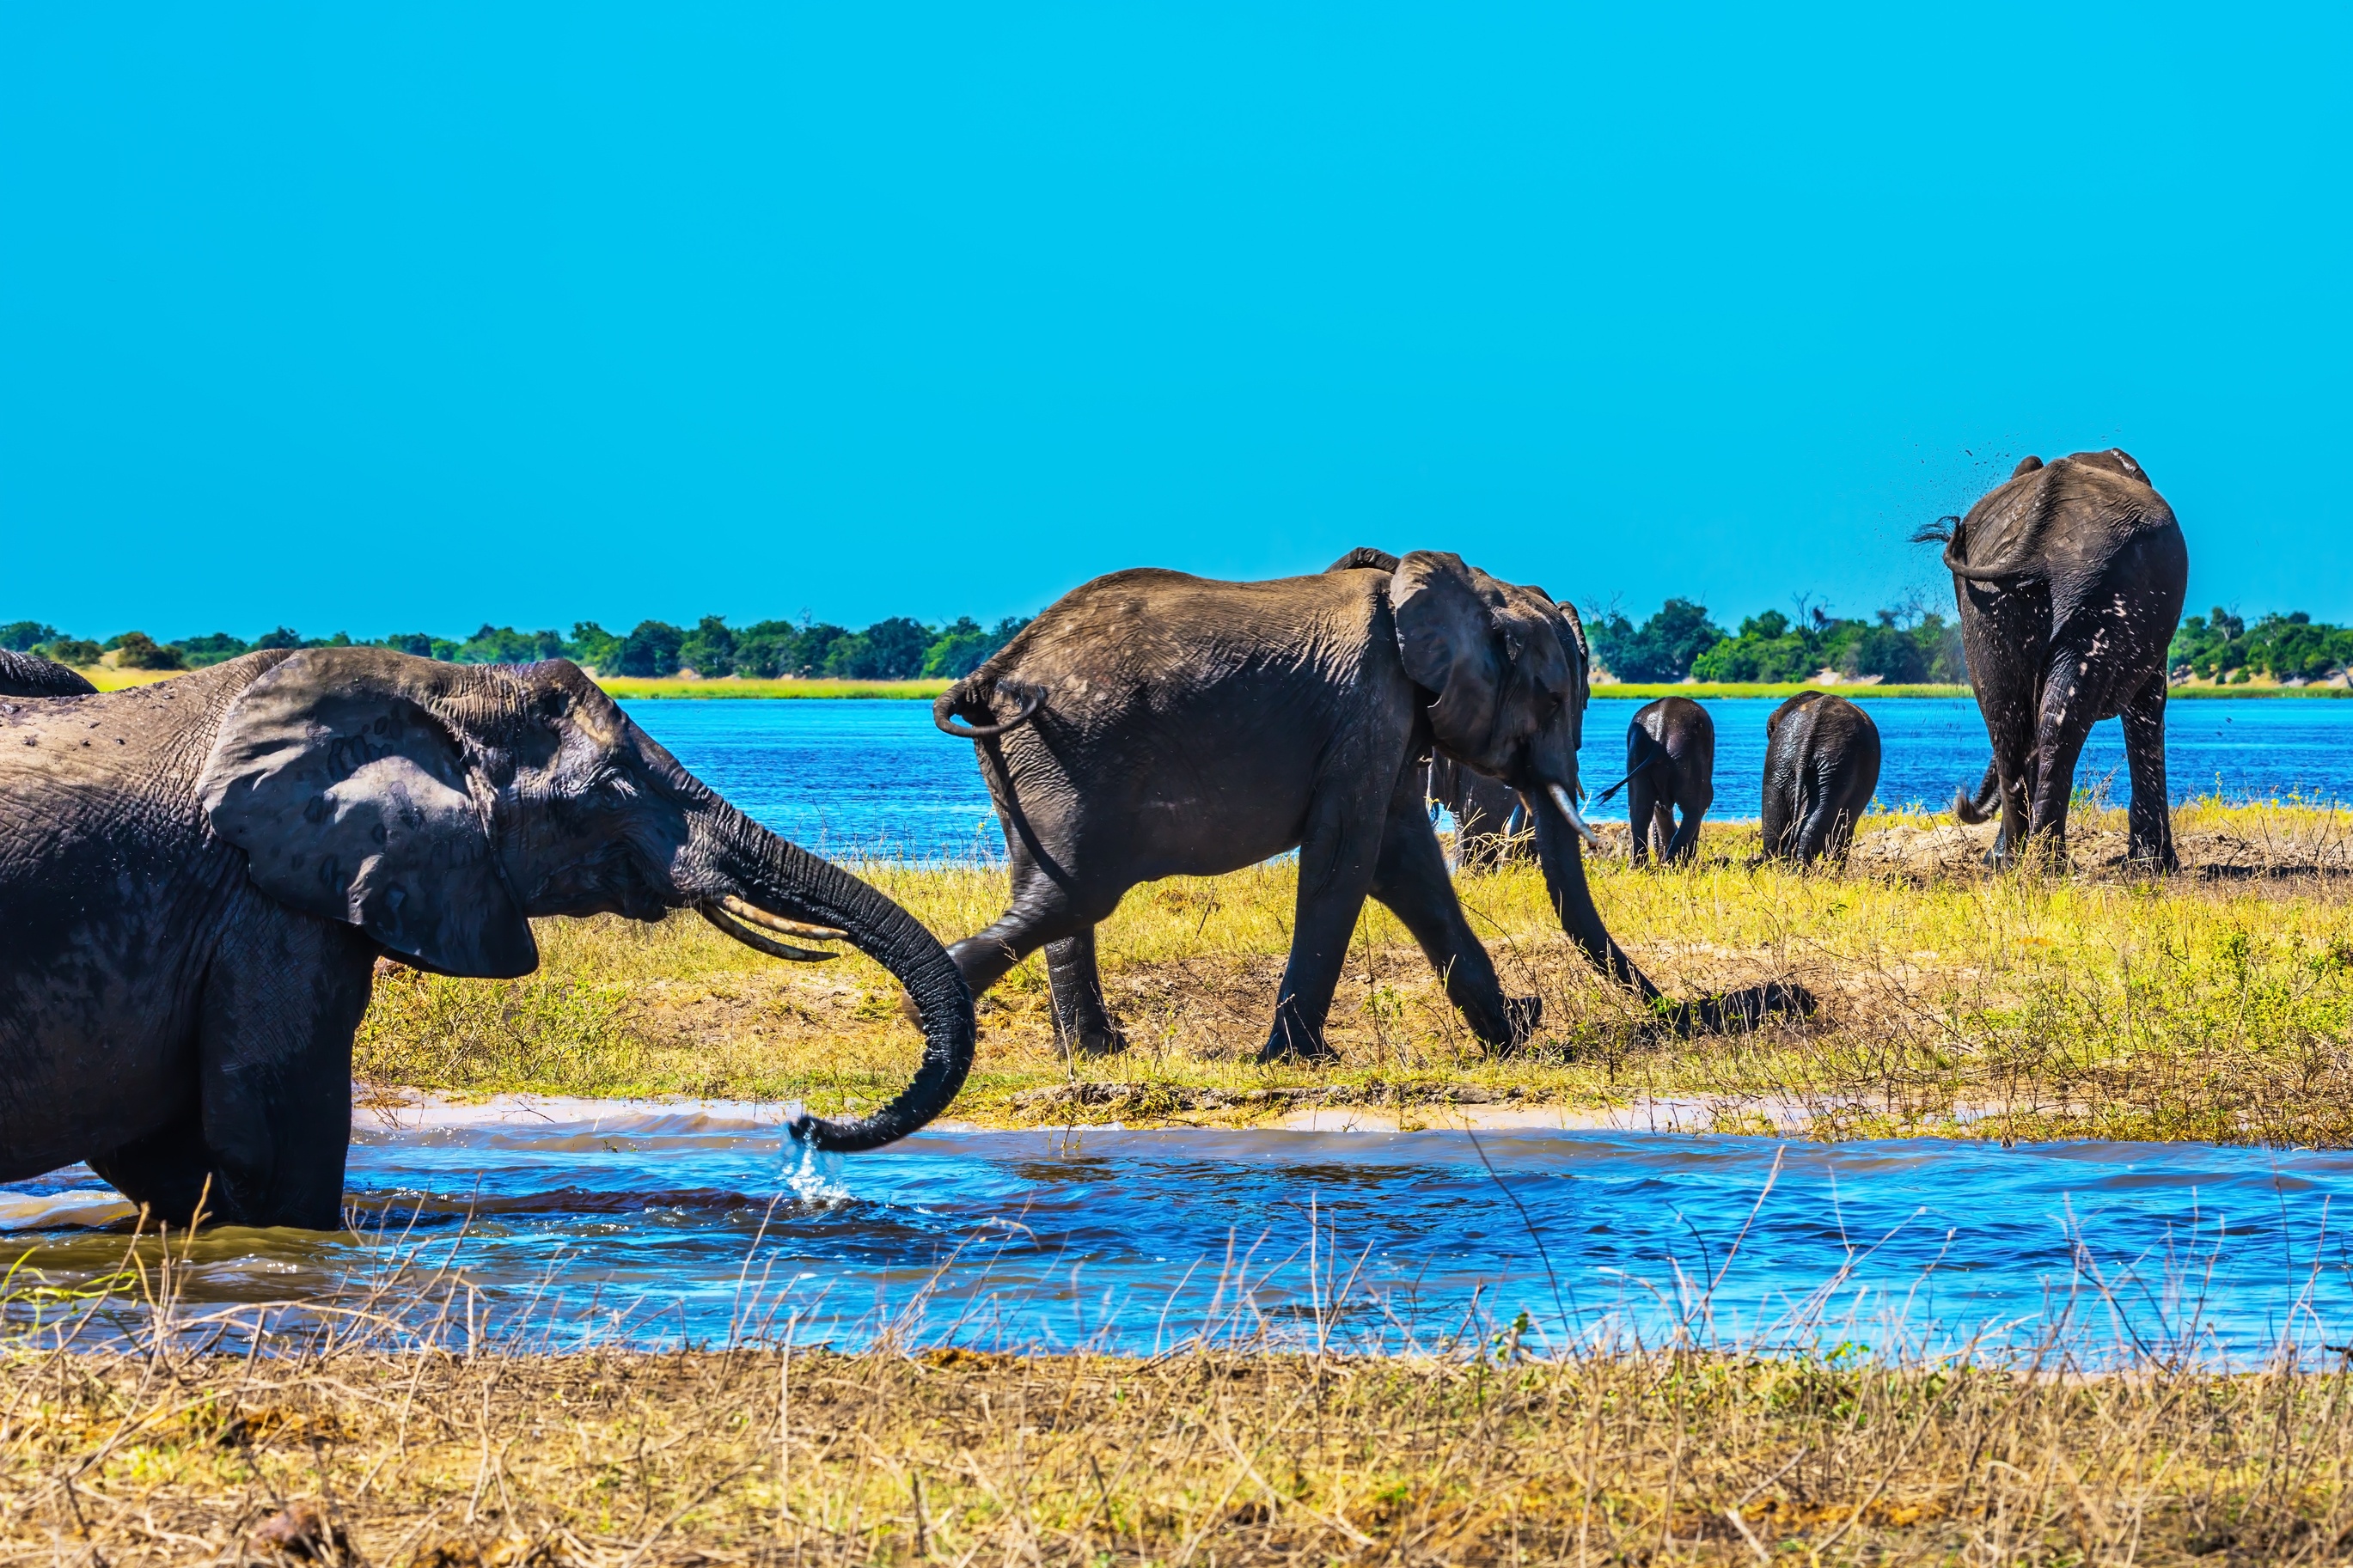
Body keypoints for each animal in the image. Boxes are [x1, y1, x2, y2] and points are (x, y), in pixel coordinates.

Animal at [0, 648, 976, 1229]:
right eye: (612, 789)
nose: (804, 1120)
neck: (431, 684)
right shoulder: (263, 903)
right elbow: (271, 1144)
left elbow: (174, 1156)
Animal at [1595, 697, 1714, 865]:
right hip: (1689, 761)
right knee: (1697, 808)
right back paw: (1678, 861)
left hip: (1636, 758)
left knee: (1639, 812)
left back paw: (1642, 865)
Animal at [1918, 449, 2187, 868]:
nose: (1961, 802)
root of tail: (2037, 534)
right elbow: (2148, 703)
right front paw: (2154, 866)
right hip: (2100, 592)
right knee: (2056, 717)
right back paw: (2047, 864)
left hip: (1995, 606)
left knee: (2007, 717)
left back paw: (2013, 862)